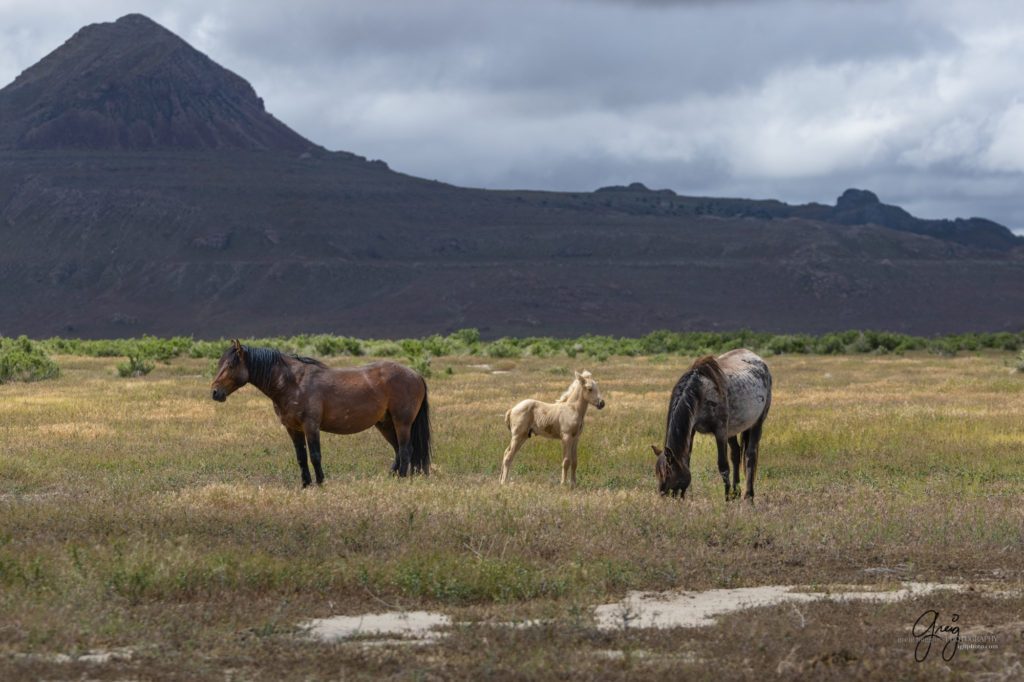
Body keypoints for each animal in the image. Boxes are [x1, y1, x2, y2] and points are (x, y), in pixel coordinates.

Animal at [209, 339, 430, 483]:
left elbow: (315, 455)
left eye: (230, 365)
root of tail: (416, 375)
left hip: (402, 422)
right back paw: (391, 478)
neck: (293, 382)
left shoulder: (311, 426)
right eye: (220, 363)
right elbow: (301, 457)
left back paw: (400, 480)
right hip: (384, 424)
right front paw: (306, 485)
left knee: (405, 449)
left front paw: (321, 483)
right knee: (398, 450)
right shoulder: (293, 429)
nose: (215, 392)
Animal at [651, 348, 770, 497]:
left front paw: (727, 497)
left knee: (750, 456)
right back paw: (736, 492)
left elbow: (723, 466)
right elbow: (687, 460)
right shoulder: (692, 430)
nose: (663, 495)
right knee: (736, 454)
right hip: (732, 430)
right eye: (657, 473)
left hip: (756, 423)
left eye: (667, 472)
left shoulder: (720, 431)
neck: (701, 392)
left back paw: (748, 495)